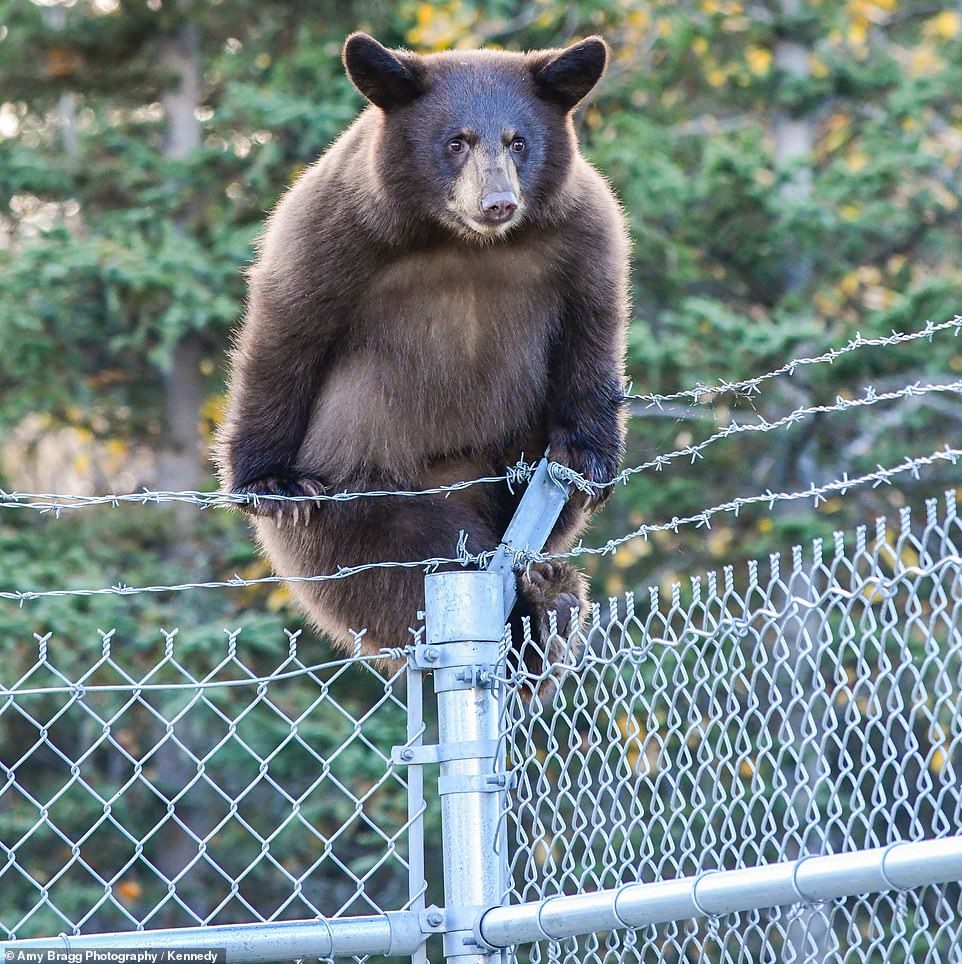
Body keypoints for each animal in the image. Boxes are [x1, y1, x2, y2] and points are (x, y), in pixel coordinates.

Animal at [214, 32, 628, 684]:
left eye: (519, 141)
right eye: (456, 141)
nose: (498, 202)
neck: (463, 242)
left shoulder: (580, 232)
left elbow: (592, 327)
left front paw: (587, 456)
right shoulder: (335, 228)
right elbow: (289, 328)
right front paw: (268, 481)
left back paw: (551, 604)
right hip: (368, 505)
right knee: (414, 571)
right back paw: (536, 617)